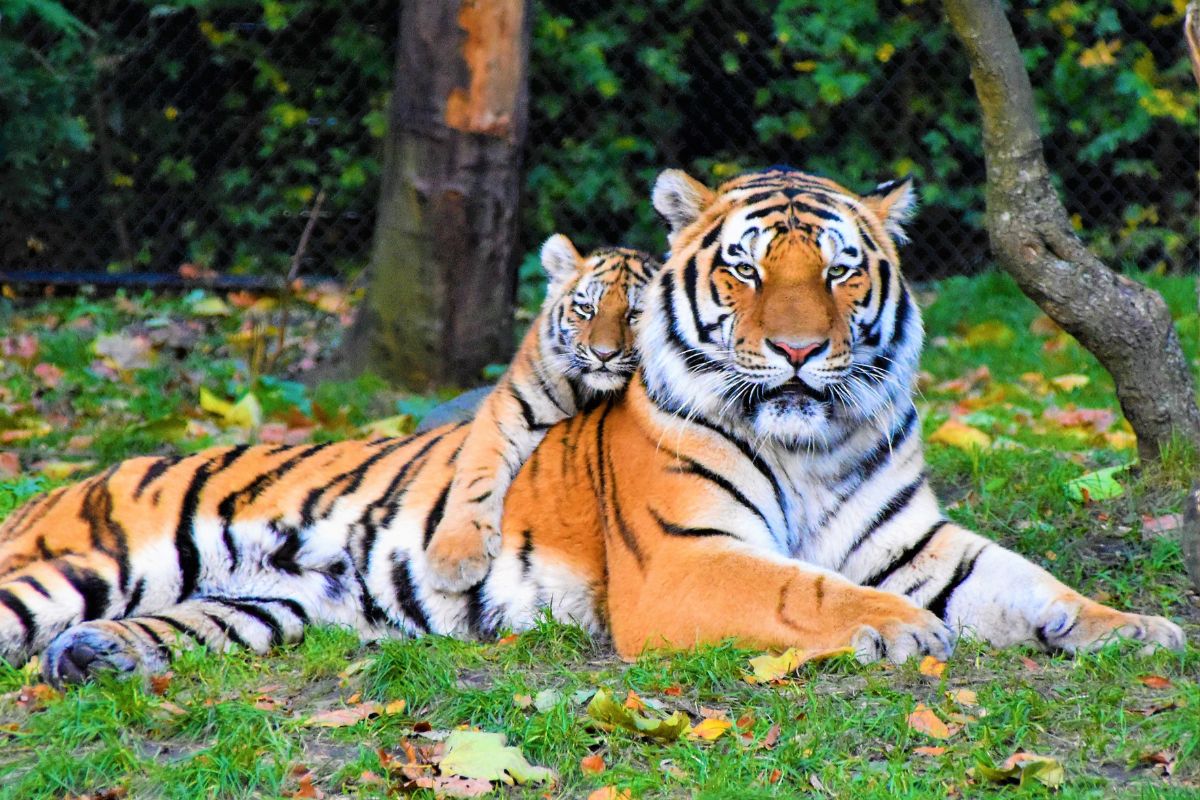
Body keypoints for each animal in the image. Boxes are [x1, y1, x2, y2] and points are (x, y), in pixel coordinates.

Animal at [423, 235, 659, 592]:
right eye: (587, 309)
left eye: (635, 313)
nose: (604, 354)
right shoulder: (508, 409)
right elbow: (477, 475)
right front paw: (455, 558)